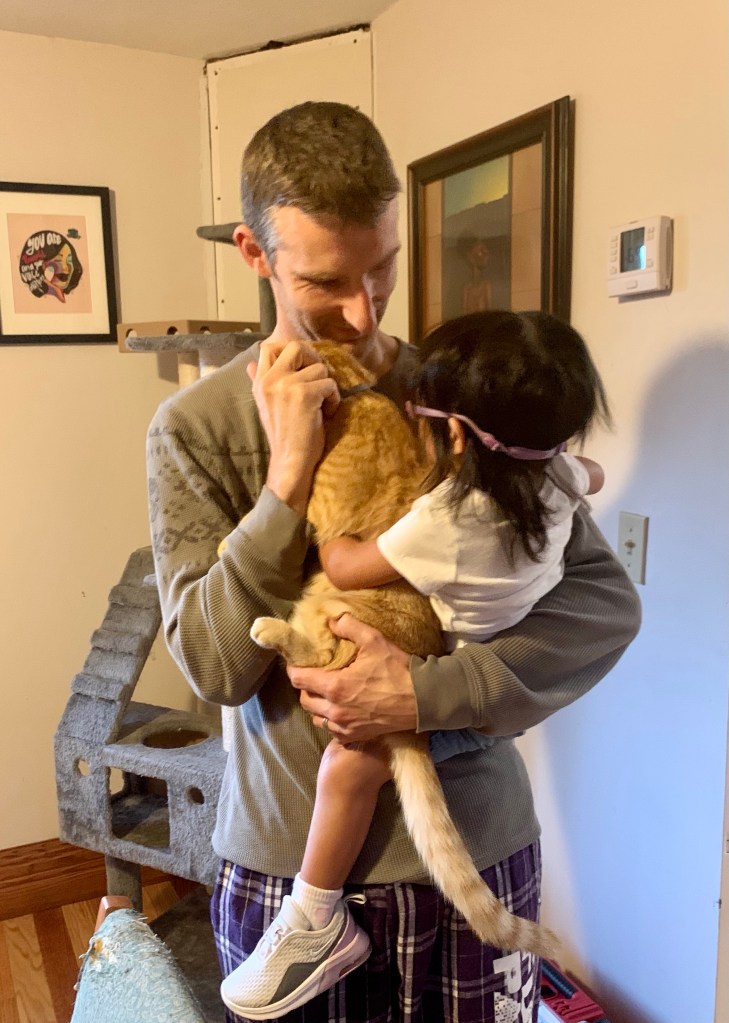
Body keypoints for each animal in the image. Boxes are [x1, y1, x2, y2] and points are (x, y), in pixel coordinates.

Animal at [249, 340, 557, 959]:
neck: (355, 395)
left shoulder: (325, 513)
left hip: (332, 611)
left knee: (315, 657)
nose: (262, 346)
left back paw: (269, 629)